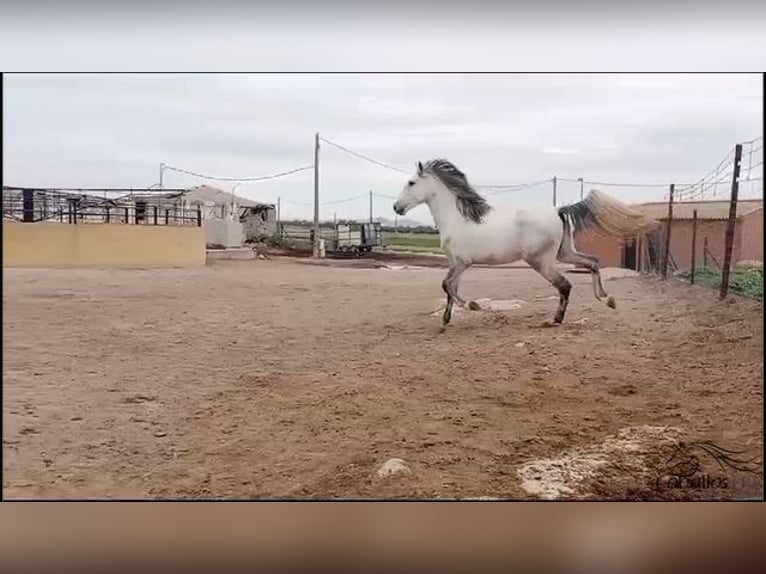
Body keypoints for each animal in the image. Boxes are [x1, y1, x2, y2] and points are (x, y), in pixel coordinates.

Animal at [396, 160, 660, 330]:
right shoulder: (456, 264)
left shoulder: (461, 263)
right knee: (593, 262)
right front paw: (445, 321)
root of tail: (558, 209)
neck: (458, 218)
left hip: (541, 261)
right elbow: (450, 289)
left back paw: (554, 320)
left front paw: (474, 306)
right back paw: (607, 299)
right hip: (564, 254)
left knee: (565, 285)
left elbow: (447, 286)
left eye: (411, 182)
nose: (396, 208)